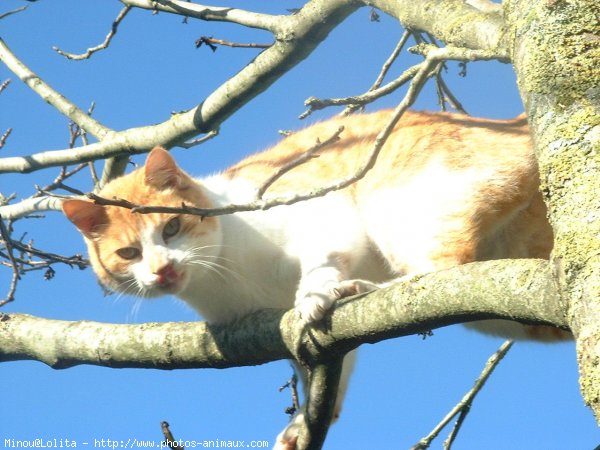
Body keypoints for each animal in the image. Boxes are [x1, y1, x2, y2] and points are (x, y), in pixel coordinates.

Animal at [61, 110, 568, 450]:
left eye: (171, 228)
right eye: (129, 254)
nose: (162, 269)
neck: (225, 273)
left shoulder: (321, 215)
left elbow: (321, 263)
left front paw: (315, 293)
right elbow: (323, 376)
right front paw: (305, 423)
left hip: (403, 207)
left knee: (440, 272)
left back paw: (366, 288)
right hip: (506, 309)